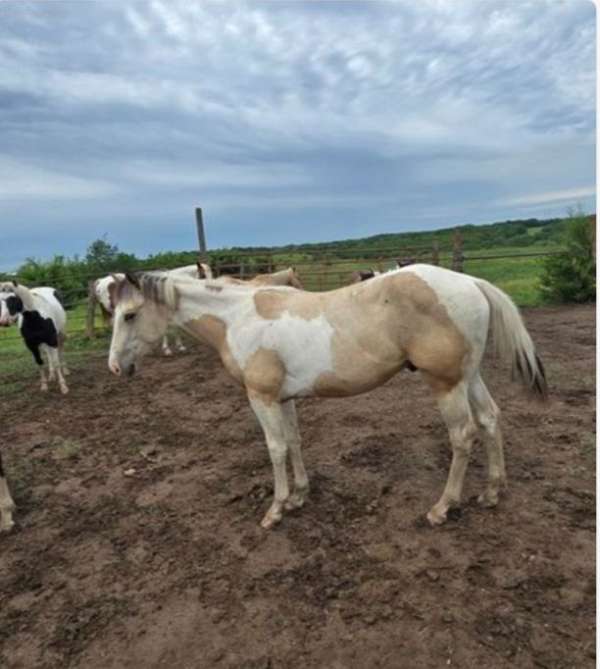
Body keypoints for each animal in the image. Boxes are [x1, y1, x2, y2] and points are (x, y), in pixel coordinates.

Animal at [106, 264, 547, 529]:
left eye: (129, 315)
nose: (114, 368)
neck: (239, 316)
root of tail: (469, 282)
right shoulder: (284, 399)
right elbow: (295, 442)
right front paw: (300, 496)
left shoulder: (261, 398)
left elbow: (276, 449)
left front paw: (276, 509)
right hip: (468, 377)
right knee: (490, 420)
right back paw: (491, 492)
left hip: (446, 384)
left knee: (463, 435)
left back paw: (443, 507)